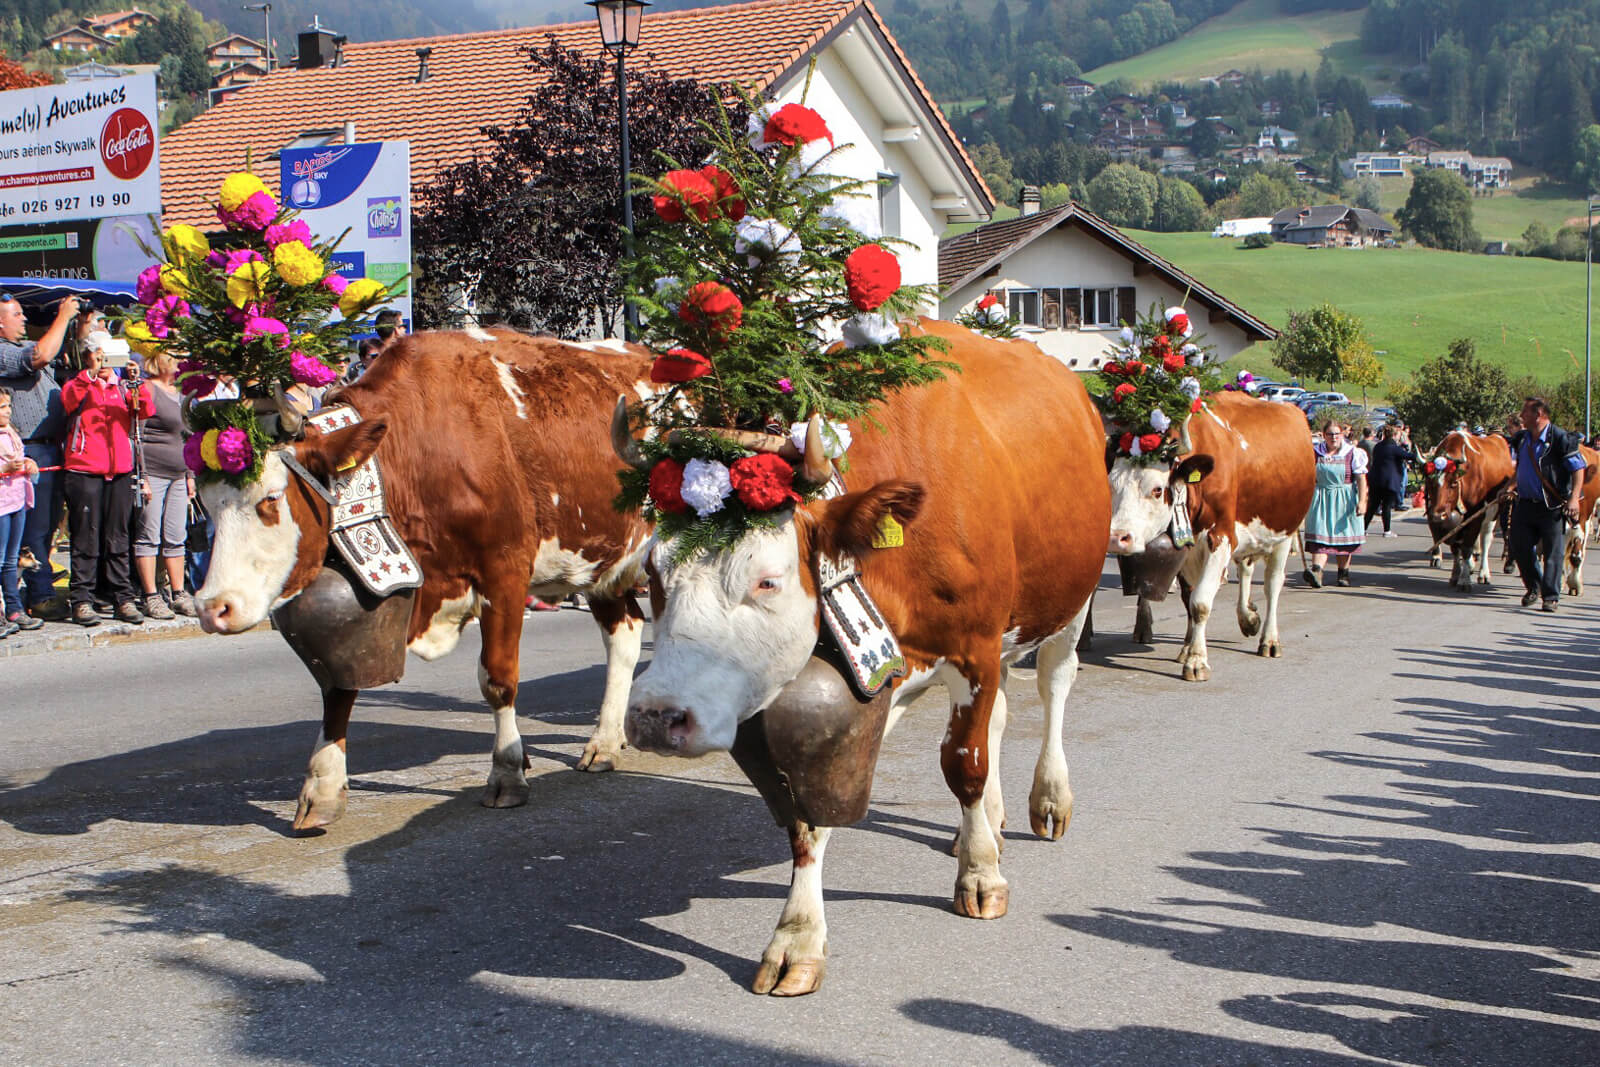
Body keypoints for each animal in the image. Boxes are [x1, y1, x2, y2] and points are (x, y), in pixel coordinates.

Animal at [193, 329, 656, 831]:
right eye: (205, 503)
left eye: (271, 499)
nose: (212, 607)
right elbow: (338, 683)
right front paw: (322, 788)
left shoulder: (505, 568)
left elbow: (498, 678)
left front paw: (508, 772)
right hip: (601, 560)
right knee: (625, 634)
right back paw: (605, 742)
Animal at [617, 321, 1107, 998]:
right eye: (654, 575)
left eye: (767, 580)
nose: (656, 716)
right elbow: (809, 814)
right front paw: (797, 937)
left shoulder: (976, 646)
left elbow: (965, 764)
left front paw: (980, 876)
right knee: (1003, 714)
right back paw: (985, 823)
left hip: (1070, 602)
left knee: (1054, 689)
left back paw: (1046, 803)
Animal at [1100, 391, 1312, 684]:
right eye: (1111, 485)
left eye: (1157, 490)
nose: (1117, 537)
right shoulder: (1189, 549)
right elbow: (1188, 598)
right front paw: (1187, 649)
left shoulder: (1220, 537)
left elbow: (1200, 602)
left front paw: (1197, 661)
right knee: (1246, 570)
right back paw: (1248, 618)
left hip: (1284, 533)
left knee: (1273, 584)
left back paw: (1269, 640)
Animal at [1427, 431, 1510, 591]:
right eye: (1430, 482)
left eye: (1453, 483)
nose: (1438, 515)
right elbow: (1456, 548)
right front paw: (1455, 574)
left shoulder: (1476, 516)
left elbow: (1466, 547)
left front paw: (1465, 580)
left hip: (1493, 513)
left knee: (1485, 540)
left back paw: (1483, 573)